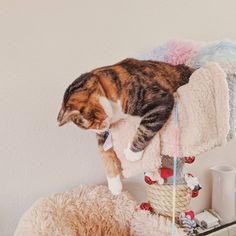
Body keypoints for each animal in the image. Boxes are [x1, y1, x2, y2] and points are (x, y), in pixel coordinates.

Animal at [57, 58, 194, 195]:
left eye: (91, 122)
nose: (100, 129)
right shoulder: (104, 135)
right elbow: (104, 153)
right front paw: (114, 185)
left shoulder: (159, 101)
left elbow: (145, 130)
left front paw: (132, 154)